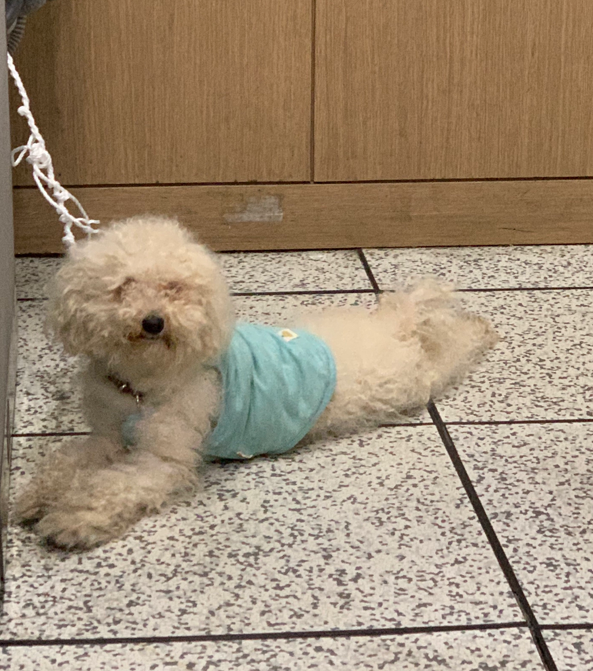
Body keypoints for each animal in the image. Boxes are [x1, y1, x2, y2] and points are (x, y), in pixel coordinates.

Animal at [16, 216, 497, 550]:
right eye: (123, 287)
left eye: (174, 288)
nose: (154, 322)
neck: (141, 384)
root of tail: (392, 328)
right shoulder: (106, 438)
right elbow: (64, 462)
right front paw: (34, 497)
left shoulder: (163, 459)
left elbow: (112, 487)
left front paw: (71, 520)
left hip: (411, 381)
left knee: (449, 353)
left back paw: (479, 329)